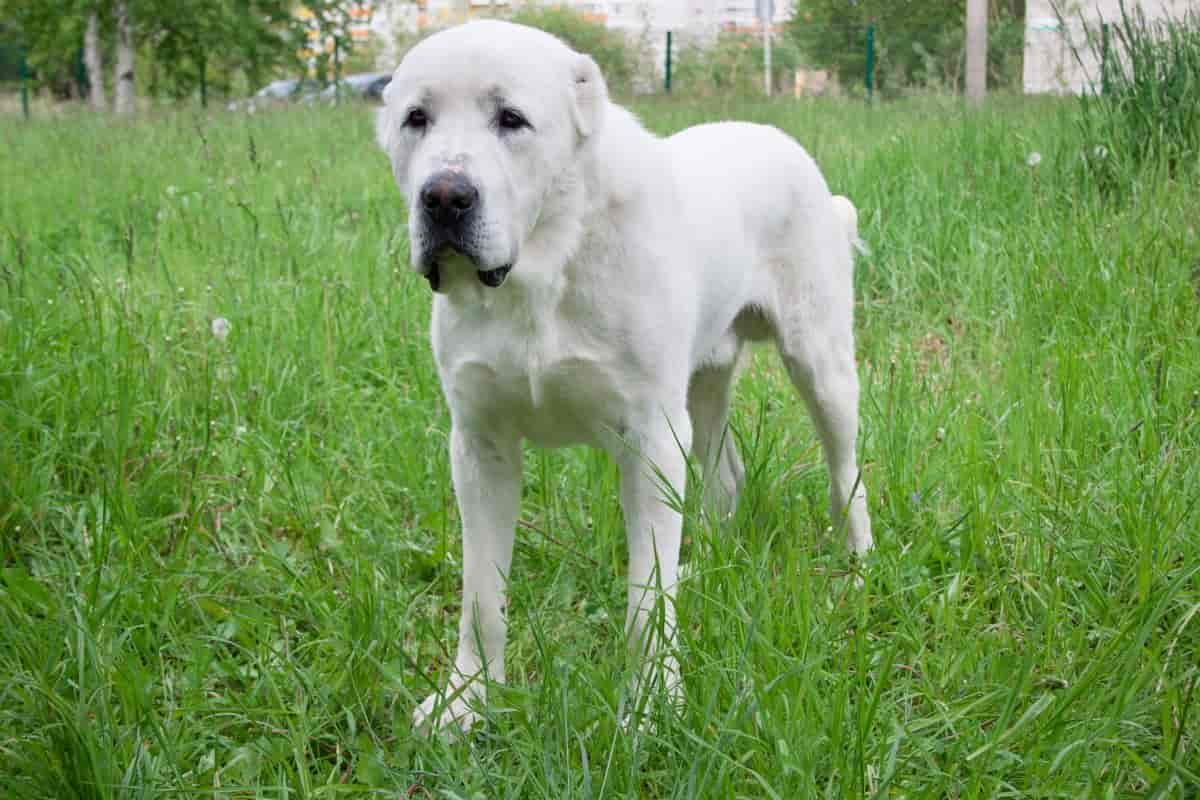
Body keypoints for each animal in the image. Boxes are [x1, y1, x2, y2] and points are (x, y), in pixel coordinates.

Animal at [376, 18, 873, 734]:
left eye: (512, 119)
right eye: (416, 118)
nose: (444, 196)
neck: (543, 267)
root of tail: (781, 143)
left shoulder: (651, 440)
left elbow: (645, 598)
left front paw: (652, 705)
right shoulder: (479, 448)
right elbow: (481, 597)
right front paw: (468, 699)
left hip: (822, 367)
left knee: (846, 474)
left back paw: (857, 571)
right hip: (703, 388)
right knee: (724, 476)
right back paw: (706, 565)